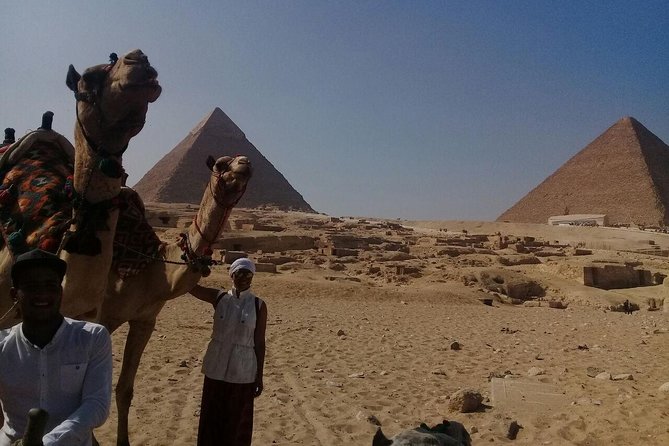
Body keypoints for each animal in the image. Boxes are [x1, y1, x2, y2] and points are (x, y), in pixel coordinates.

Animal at [99, 155, 252, 446]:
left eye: (248, 168)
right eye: (221, 164)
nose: (245, 162)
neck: (154, 265)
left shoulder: (144, 321)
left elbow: (125, 388)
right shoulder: (102, 316)